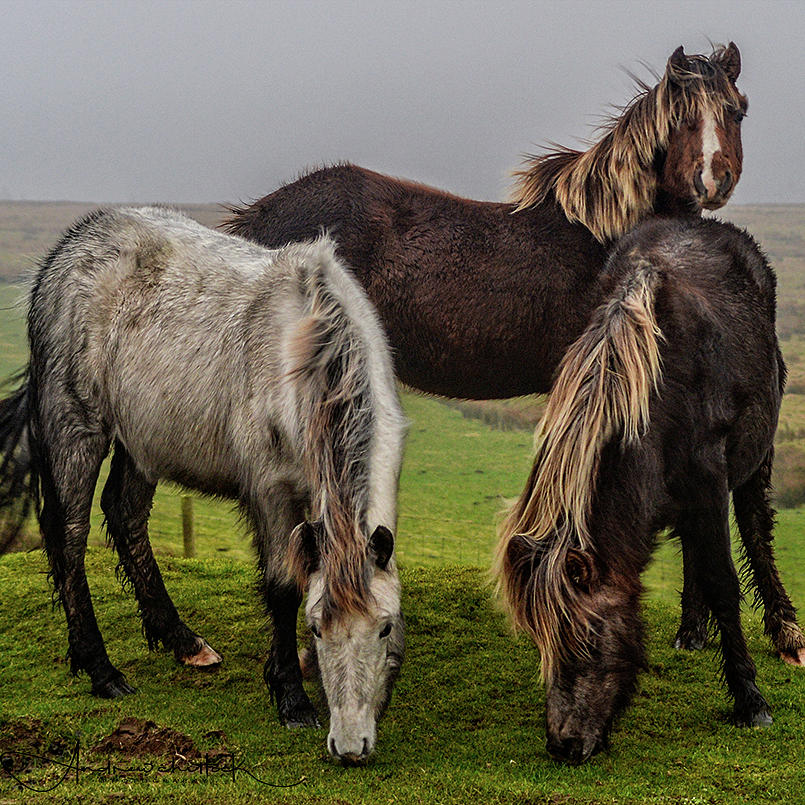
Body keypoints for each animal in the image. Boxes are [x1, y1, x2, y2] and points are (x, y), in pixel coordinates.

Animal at [0, 206, 406, 760]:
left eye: (384, 628)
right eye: (317, 628)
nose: (350, 746)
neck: (311, 359)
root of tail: (71, 245)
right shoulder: (272, 495)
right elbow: (282, 587)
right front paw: (291, 697)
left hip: (142, 443)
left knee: (125, 513)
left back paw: (183, 642)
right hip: (76, 428)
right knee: (69, 537)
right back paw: (101, 670)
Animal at [496, 217, 796, 764]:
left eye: (588, 637)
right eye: (541, 643)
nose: (564, 745)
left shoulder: (710, 480)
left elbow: (724, 581)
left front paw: (750, 700)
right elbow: (701, 561)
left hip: (755, 457)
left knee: (756, 528)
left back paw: (785, 631)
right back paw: (691, 631)